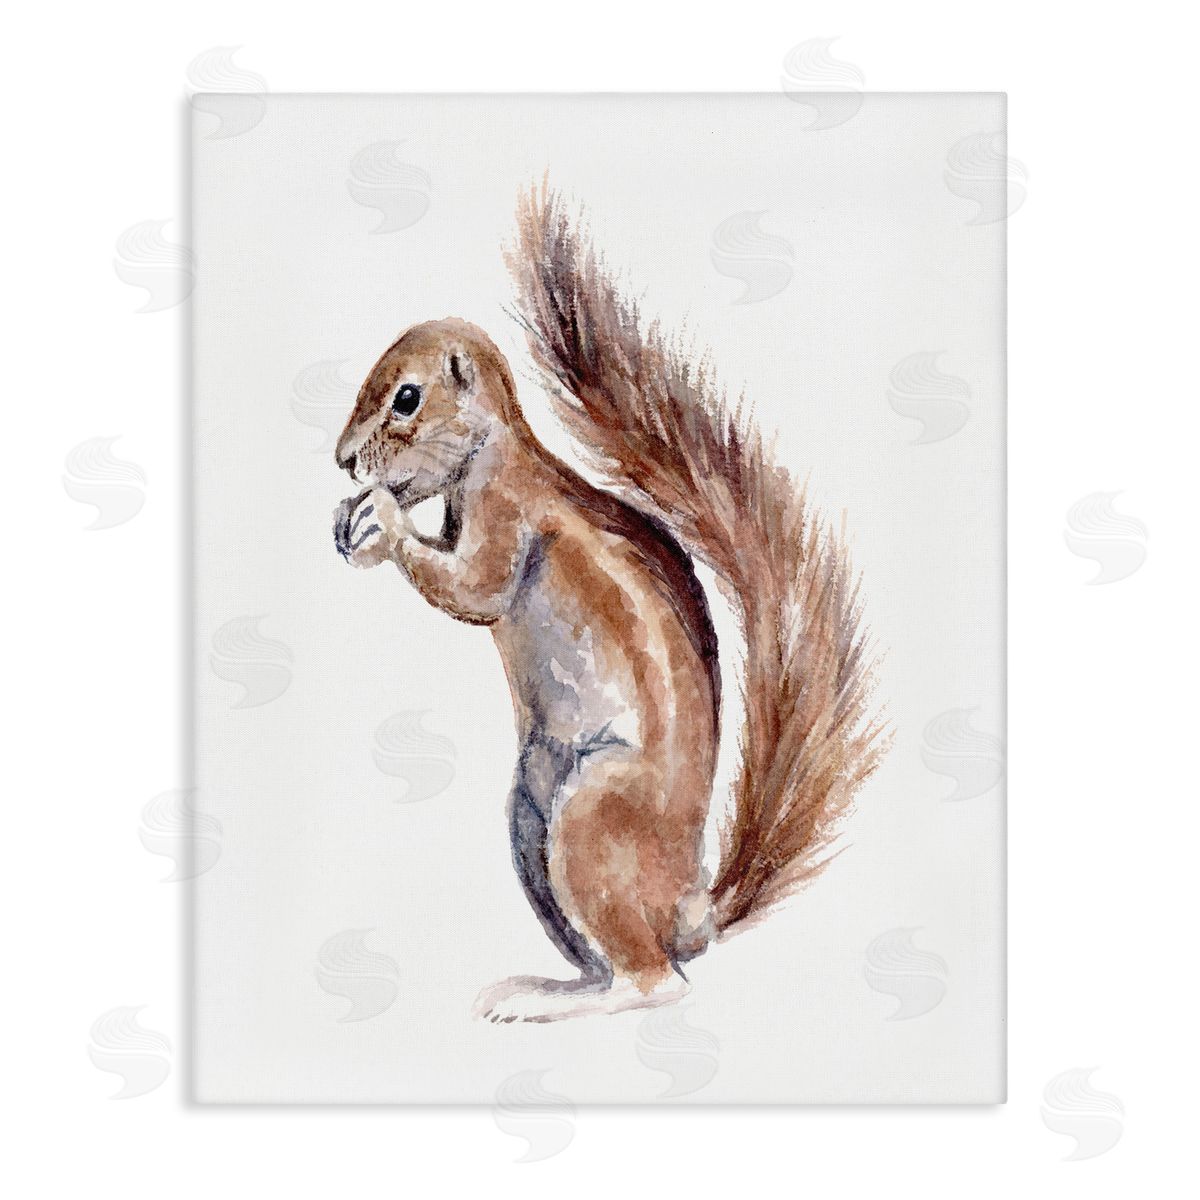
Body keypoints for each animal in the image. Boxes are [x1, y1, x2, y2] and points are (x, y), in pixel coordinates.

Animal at [332, 182, 886, 1023]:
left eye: (405, 398)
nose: (342, 460)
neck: (493, 456)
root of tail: (687, 908)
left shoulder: (507, 519)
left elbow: (474, 592)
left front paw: (382, 523)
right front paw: (350, 522)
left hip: (591, 821)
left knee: (656, 985)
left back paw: (554, 1004)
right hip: (530, 820)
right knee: (619, 963)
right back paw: (552, 984)